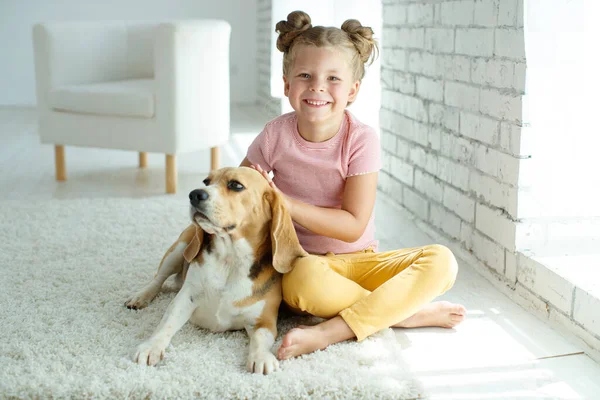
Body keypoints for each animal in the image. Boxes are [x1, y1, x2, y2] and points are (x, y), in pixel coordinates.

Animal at [125, 166, 308, 376]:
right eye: (206, 181)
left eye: (236, 185)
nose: (194, 194)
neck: (230, 260)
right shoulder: (184, 299)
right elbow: (166, 323)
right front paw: (151, 346)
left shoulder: (265, 320)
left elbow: (261, 338)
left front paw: (261, 357)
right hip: (180, 249)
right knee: (158, 279)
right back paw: (140, 297)